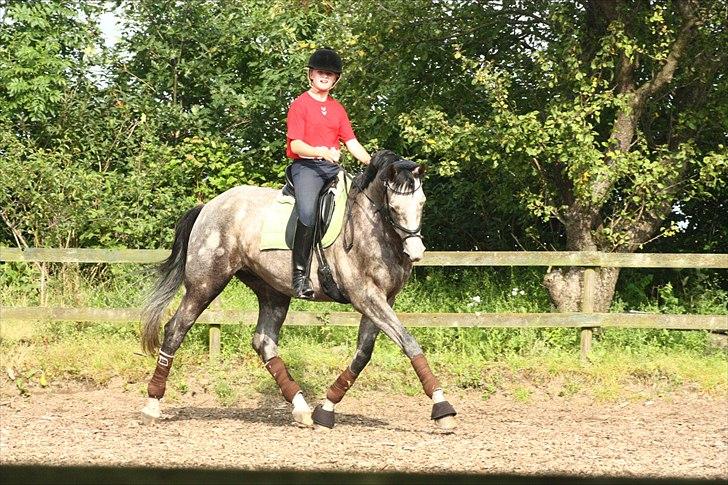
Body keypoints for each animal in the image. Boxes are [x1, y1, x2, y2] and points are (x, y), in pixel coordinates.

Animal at [140, 149, 458, 430]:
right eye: (394, 208)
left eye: (422, 203)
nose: (416, 252)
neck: (375, 229)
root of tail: (208, 207)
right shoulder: (366, 296)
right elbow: (409, 342)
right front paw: (442, 408)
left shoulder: (383, 299)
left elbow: (364, 354)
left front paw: (327, 409)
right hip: (205, 283)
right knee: (176, 329)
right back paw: (152, 404)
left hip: (272, 291)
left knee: (264, 342)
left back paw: (302, 409)